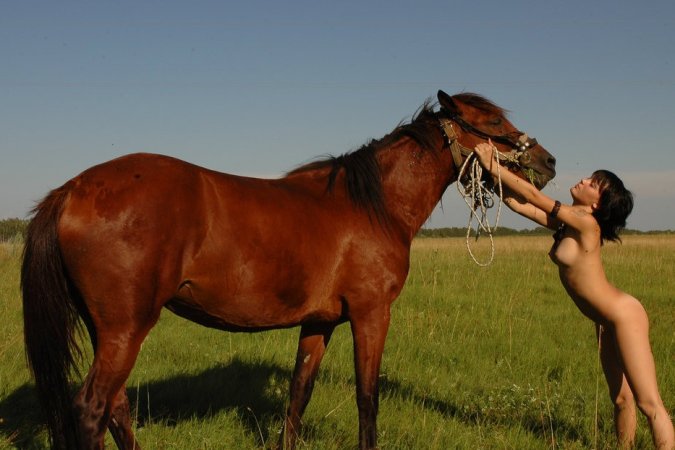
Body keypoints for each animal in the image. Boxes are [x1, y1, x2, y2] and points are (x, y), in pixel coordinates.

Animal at [21, 90, 556, 449]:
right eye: (492, 121)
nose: (548, 161)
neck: (372, 205)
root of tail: (71, 189)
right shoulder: (371, 315)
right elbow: (367, 396)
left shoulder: (319, 322)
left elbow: (299, 393)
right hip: (126, 328)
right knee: (93, 408)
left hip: (108, 329)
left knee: (116, 406)